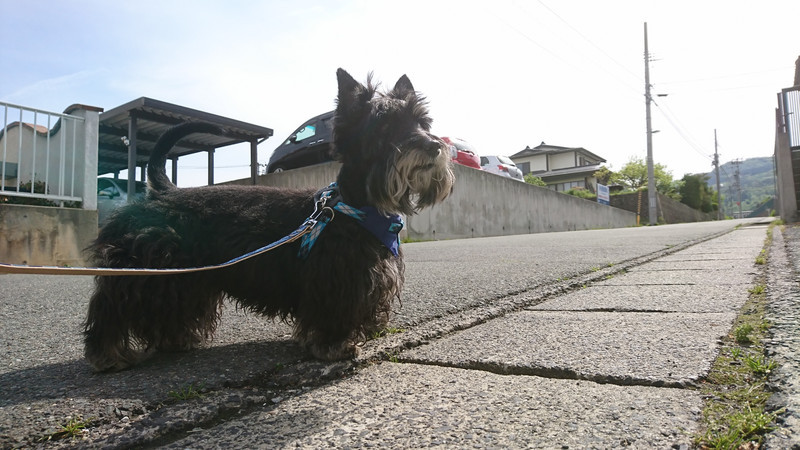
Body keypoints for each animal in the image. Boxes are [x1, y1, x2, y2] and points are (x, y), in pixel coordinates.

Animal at [83, 68, 455, 371]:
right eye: (385, 124)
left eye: (423, 122)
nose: (435, 146)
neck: (357, 206)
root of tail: (164, 192)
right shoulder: (337, 279)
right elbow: (333, 314)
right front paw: (334, 345)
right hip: (146, 269)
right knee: (111, 306)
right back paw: (109, 355)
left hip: (183, 276)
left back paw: (176, 341)